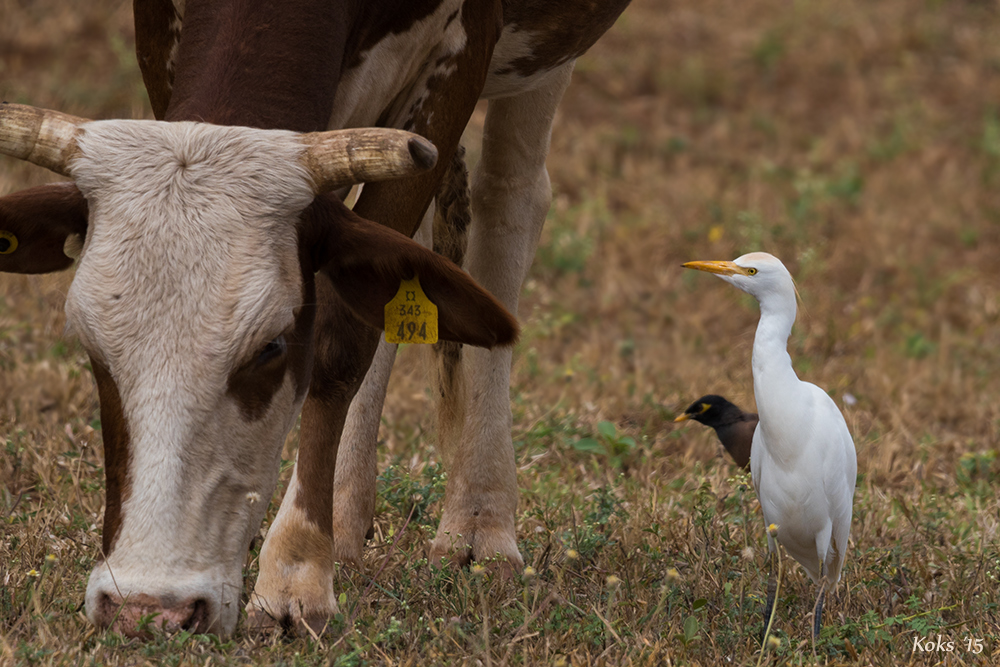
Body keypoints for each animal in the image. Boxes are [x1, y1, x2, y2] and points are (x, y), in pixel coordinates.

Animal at [0, 0, 624, 636]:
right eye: (90, 346)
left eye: (272, 347)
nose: (150, 609)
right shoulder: (158, 41)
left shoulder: (460, 58)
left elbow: (342, 342)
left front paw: (295, 570)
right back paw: (346, 520)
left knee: (511, 202)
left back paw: (480, 522)